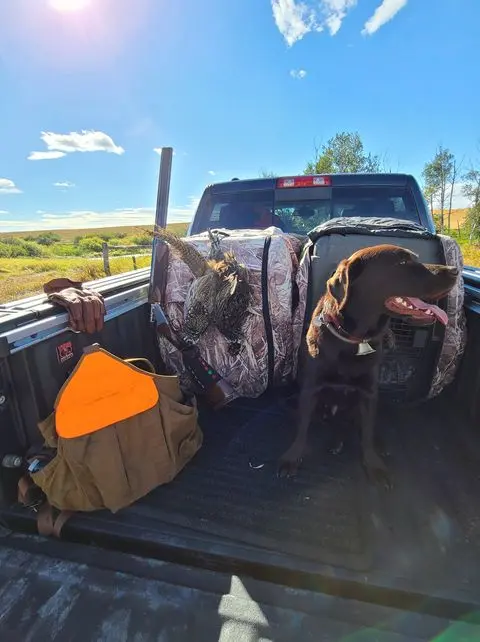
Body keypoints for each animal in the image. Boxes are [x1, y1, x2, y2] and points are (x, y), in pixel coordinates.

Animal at [278, 244, 459, 488]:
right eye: (402, 262)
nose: (455, 270)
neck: (354, 339)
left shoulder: (368, 393)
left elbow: (367, 434)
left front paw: (374, 465)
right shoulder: (310, 389)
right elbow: (302, 428)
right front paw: (291, 458)